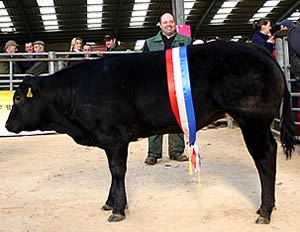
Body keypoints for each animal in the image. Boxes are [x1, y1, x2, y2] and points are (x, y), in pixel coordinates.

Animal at [5, 40, 296, 224]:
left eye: (18, 99)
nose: (7, 125)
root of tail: (257, 49)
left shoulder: (115, 136)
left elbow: (117, 171)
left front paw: (117, 210)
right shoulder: (110, 140)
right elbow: (113, 173)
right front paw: (110, 202)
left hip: (253, 121)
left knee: (265, 158)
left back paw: (265, 211)